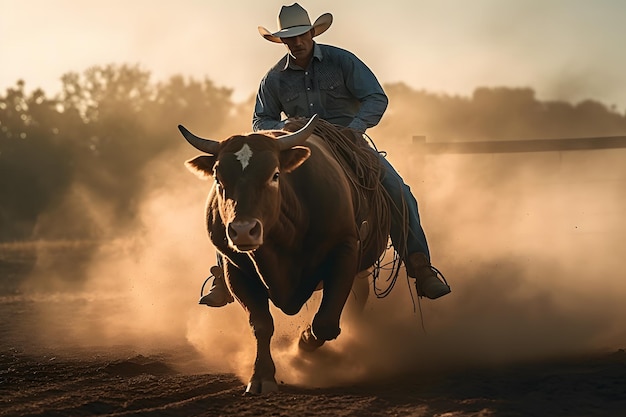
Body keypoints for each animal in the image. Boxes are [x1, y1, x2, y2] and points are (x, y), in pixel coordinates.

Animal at [178, 116, 388, 394]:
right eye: (218, 178)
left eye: (275, 175)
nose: (243, 230)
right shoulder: (236, 270)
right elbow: (261, 325)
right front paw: (262, 377)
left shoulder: (344, 249)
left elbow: (325, 323)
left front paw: (302, 346)